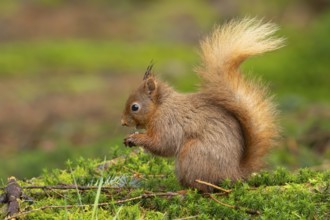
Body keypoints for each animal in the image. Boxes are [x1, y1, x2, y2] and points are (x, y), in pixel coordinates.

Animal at [121, 18, 284, 192]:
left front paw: (135, 138)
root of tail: (233, 173)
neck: (160, 106)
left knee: (202, 186)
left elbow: (163, 144)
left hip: (192, 154)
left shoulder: (168, 122)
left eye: (135, 107)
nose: (123, 122)